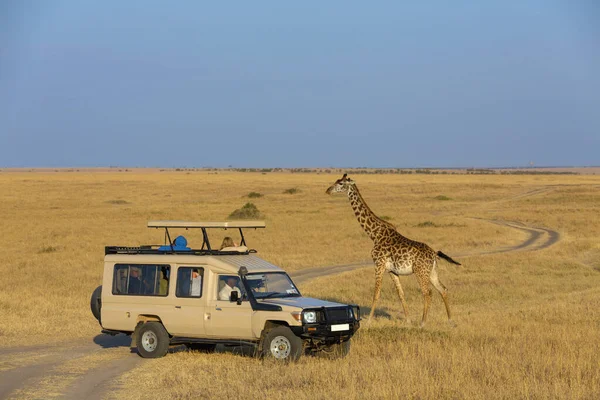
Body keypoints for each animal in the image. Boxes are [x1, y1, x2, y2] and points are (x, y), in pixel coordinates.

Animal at [326, 173, 462, 326]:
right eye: (336, 181)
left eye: (341, 184)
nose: (328, 190)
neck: (374, 234)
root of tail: (434, 254)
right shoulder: (392, 270)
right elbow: (400, 294)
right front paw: (408, 320)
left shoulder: (378, 264)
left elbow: (376, 293)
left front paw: (369, 321)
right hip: (432, 272)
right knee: (442, 289)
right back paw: (450, 320)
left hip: (420, 272)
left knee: (428, 293)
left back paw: (423, 323)